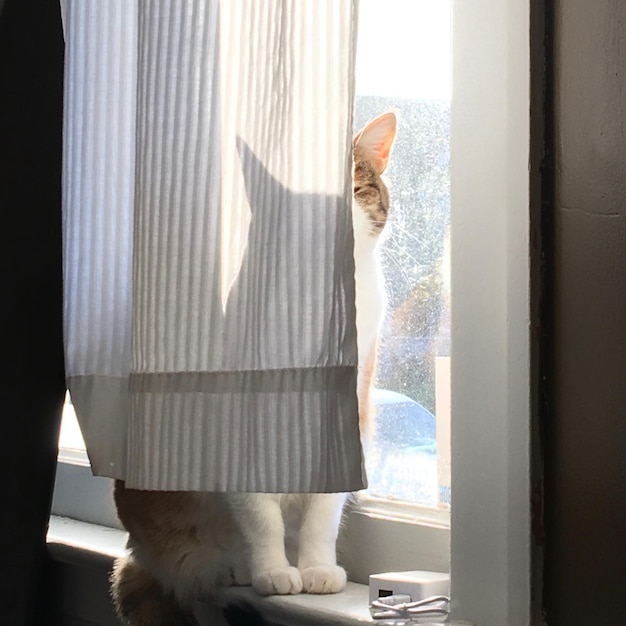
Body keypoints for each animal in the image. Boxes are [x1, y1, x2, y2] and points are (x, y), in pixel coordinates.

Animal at [110, 109, 398, 620]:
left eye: (353, 187)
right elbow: (259, 513)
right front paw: (272, 570)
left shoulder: (348, 413)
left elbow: (324, 511)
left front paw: (316, 567)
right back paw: (236, 568)